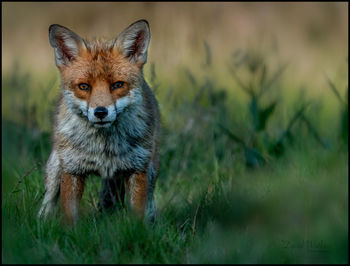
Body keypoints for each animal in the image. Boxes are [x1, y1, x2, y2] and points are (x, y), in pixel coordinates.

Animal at [37, 19, 161, 223]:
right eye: (84, 86)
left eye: (117, 85)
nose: (100, 112)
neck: (104, 148)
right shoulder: (72, 170)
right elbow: (70, 216)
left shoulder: (138, 169)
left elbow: (137, 215)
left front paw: (139, 229)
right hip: (56, 165)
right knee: (49, 198)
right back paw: (43, 220)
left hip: (150, 169)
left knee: (148, 200)